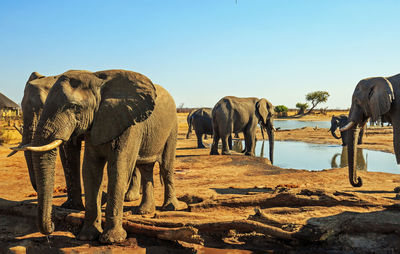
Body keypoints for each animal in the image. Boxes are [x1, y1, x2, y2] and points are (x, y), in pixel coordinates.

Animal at [12, 70, 179, 244]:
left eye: (74, 107)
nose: (52, 225)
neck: (97, 78)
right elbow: (89, 169)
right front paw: (87, 236)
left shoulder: (129, 124)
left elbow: (118, 168)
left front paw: (112, 240)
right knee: (146, 167)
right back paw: (143, 211)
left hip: (172, 126)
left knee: (166, 166)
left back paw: (169, 207)